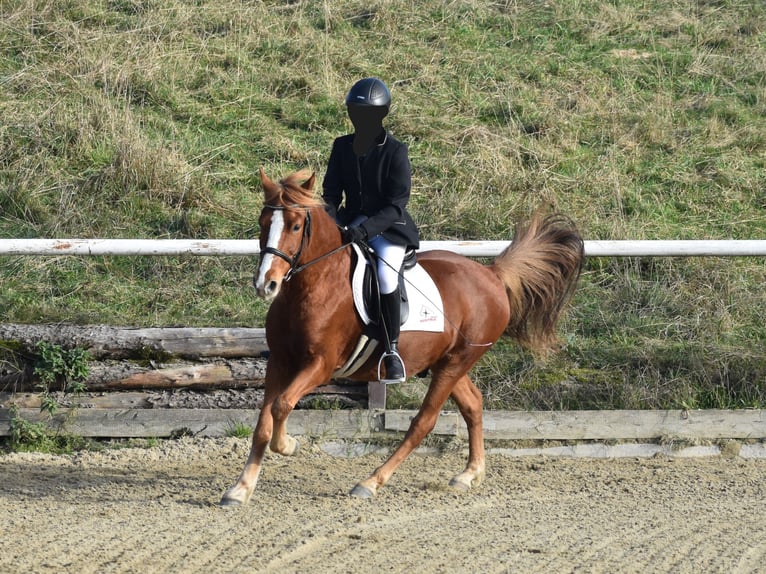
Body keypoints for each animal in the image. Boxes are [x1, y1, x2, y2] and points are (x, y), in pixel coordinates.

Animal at [219, 169, 584, 506]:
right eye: (263, 221)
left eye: (295, 226)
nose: (265, 285)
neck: (312, 285)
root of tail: (491, 274)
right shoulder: (280, 363)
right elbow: (264, 422)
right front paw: (241, 488)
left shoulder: (321, 365)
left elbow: (281, 406)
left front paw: (288, 445)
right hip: (446, 362)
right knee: (473, 404)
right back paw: (469, 474)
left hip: (456, 362)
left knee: (424, 421)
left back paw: (371, 482)